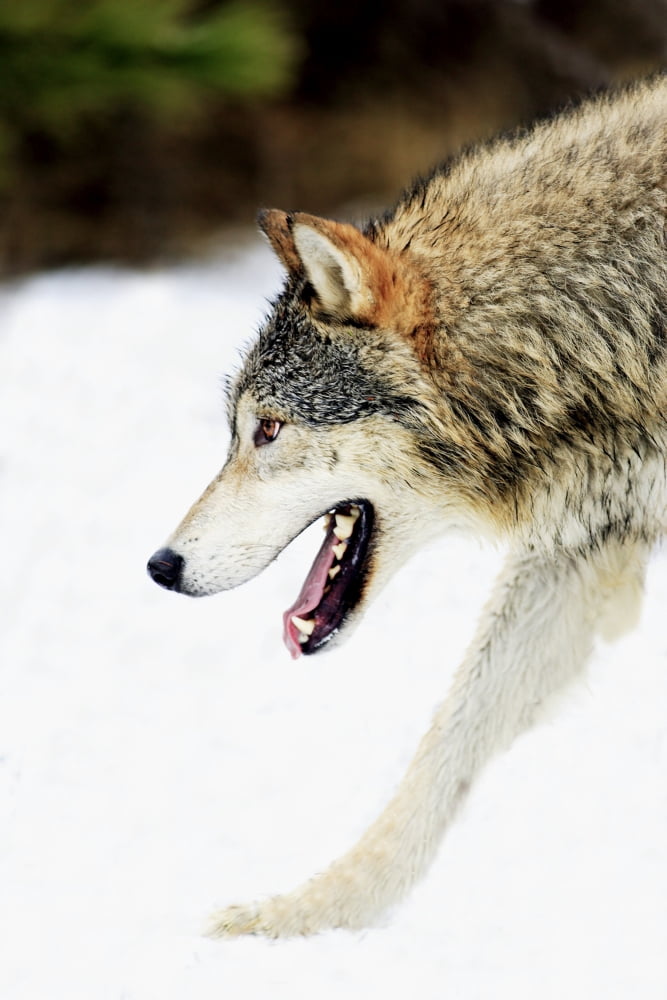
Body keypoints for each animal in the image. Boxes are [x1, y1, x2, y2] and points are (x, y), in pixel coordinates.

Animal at [147, 76, 667, 938]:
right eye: (236, 429)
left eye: (267, 428)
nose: (160, 565)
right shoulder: (579, 549)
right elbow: (444, 749)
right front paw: (302, 918)